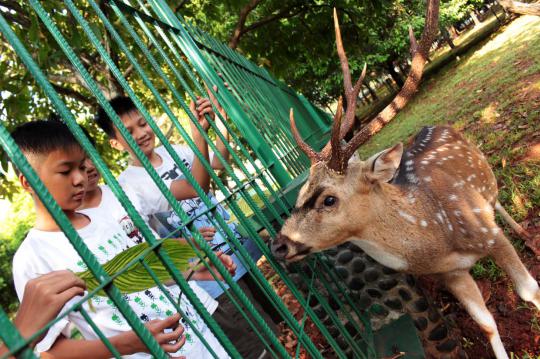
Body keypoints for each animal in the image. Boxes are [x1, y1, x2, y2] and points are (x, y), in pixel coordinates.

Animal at [272, 1, 536, 358]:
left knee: (497, 200)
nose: (278, 244)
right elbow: (486, 324)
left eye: (329, 199)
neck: (438, 236)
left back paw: (523, 232)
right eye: (300, 193)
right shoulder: (451, 274)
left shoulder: (490, 237)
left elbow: (529, 291)